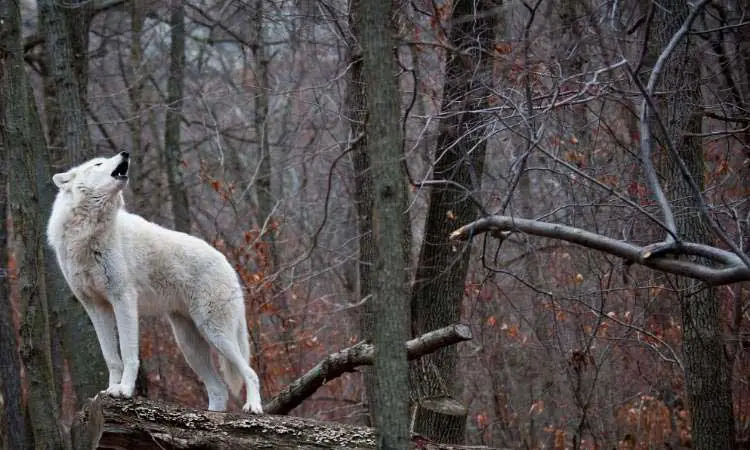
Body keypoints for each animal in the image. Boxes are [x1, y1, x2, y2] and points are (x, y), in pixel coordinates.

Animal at [46, 153, 264, 414]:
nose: (125, 153)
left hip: (215, 333)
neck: (88, 233)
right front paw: (108, 390)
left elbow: (128, 353)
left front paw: (124, 390)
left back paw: (253, 406)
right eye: (98, 164)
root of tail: (227, 263)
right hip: (189, 344)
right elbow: (111, 358)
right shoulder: (95, 307)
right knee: (219, 388)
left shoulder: (123, 299)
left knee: (250, 373)